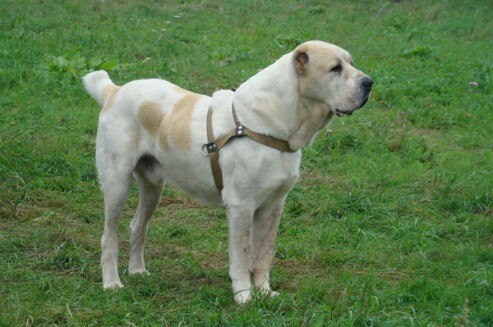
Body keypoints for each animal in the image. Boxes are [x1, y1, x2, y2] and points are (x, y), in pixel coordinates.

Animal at [82, 40, 370, 304]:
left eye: (351, 63)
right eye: (335, 68)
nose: (369, 82)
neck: (273, 123)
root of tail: (114, 91)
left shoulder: (273, 206)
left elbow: (264, 254)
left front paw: (265, 292)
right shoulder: (241, 205)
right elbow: (242, 254)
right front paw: (244, 296)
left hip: (153, 187)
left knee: (137, 226)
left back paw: (138, 271)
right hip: (117, 183)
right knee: (109, 236)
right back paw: (112, 283)